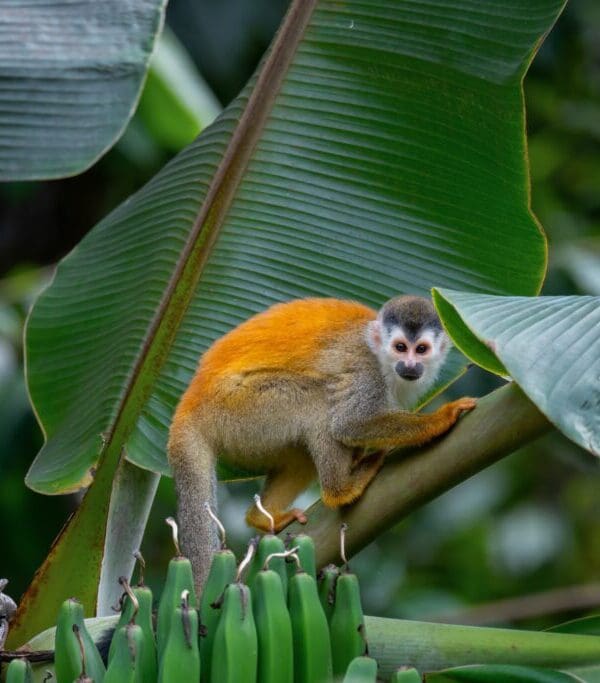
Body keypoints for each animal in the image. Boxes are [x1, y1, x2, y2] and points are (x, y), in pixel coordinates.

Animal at [168, 295, 476, 591]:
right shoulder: (366, 370)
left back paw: (261, 517)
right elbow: (348, 424)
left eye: (421, 349)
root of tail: (189, 405)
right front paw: (441, 418)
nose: (410, 365)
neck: (382, 357)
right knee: (318, 401)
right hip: (237, 408)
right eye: (400, 347)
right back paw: (340, 491)